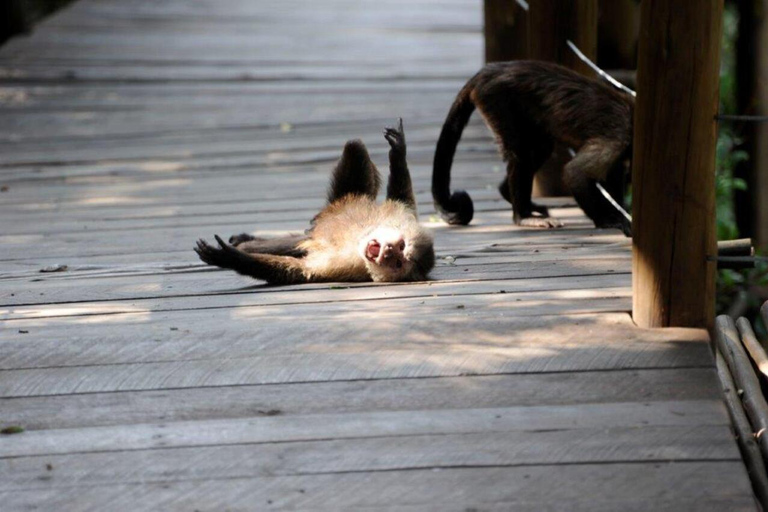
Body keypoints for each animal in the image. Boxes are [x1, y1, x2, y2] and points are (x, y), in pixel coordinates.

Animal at [195, 121, 436, 288]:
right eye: (400, 246)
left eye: (398, 262)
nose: (387, 251)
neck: (358, 242)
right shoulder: (400, 215)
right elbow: (401, 196)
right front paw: (398, 152)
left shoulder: (344, 268)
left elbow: (298, 270)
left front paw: (231, 258)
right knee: (354, 147)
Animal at [432, 59, 636, 236]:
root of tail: (490, 70)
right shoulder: (619, 134)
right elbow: (574, 173)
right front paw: (609, 220)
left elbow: (612, 176)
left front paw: (622, 213)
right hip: (496, 99)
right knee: (522, 154)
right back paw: (523, 216)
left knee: (540, 149)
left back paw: (512, 195)